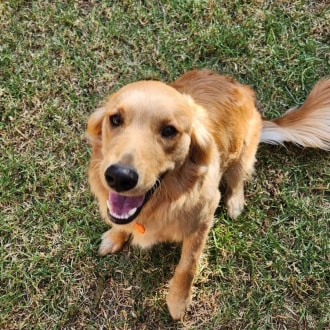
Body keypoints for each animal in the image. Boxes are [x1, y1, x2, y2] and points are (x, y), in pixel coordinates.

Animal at [87, 69, 330, 320]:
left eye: (169, 131)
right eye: (115, 119)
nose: (119, 177)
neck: (165, 199)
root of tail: (242, 89)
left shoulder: (202, 219)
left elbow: (188, 265)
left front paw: (178, 302)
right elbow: (121, 223)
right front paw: (115, 236)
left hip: (242, 152)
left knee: (238, 178)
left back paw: (235, 203)